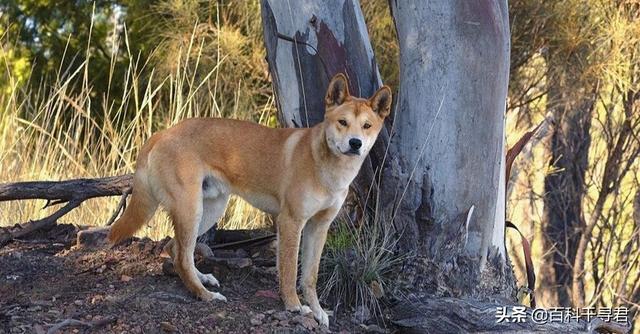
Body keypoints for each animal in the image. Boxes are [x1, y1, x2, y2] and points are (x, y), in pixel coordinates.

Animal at [109, 73, 390, 326]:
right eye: (342, 122)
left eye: (367, 126)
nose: (355, 143)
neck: (327, 167)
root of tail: (162, 133)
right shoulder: (291, 221)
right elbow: (290, 271)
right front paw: (294, 306)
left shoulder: (319, 227)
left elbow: (310, 276)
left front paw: (318, 311)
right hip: (191, 209)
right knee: (182, 256)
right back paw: (205, 294)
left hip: (210, 208)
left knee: (175, 248)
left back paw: (203, 280)